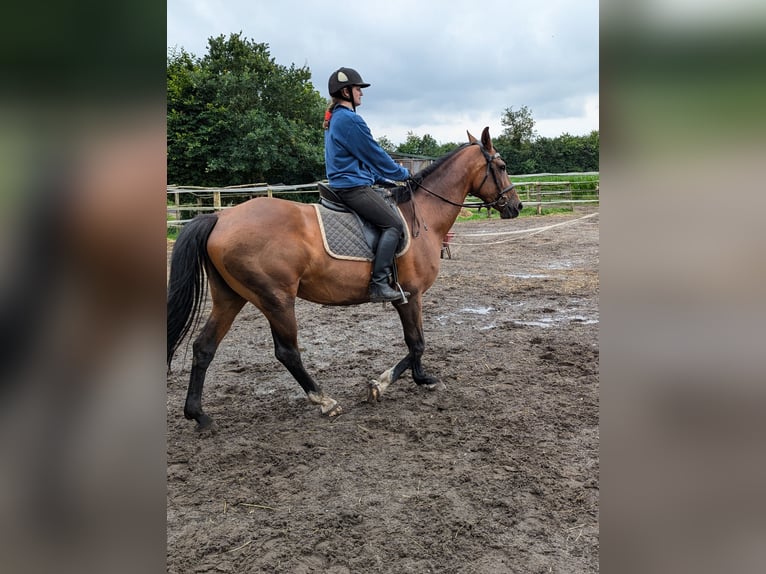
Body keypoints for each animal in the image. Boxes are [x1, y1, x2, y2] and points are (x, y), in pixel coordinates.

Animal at [169, 128, 524, 430]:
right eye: (502, 166)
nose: (516, 206)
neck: (423, 216)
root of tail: (220, 217)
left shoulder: (409, 297)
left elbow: (416, 344)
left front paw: (418, 379)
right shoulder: (410, 295)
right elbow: (417, 342)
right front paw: (386, 384)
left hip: (232, 297)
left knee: (204, 347)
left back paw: (199, 415)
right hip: (276, 299)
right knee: (287, 352)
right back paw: (325, 401)